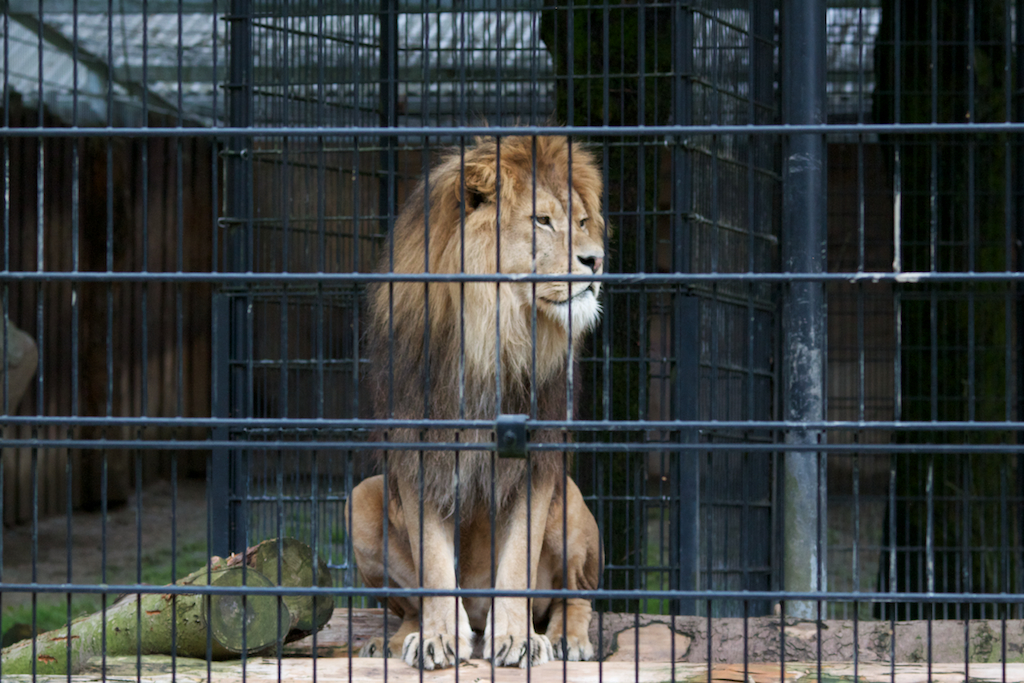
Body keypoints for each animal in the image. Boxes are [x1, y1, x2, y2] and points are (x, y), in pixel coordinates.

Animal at [347, 135, 606, 670]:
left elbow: (517, 562)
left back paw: (566, 639)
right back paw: (401, 636)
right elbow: (434, 564)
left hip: (569, 501)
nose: (597, 260)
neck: (493, 334)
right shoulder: (421, 454)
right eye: (542, 220)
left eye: (582, 222)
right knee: (412, 602)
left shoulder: (535, 465)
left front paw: (519, 641)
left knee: (578, 593)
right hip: (360, 498)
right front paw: (437, 639)